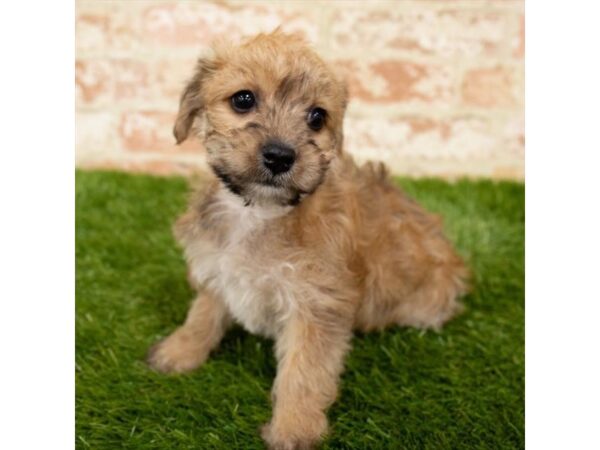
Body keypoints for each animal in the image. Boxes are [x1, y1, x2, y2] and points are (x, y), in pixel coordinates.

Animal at [146, 29, 468, 448]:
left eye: (317, 117)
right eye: (243, 99)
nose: (281, 156)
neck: (258, 211)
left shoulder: (316, 304)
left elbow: (304, 372)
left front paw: (293, 428)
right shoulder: (217, 270)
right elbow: (202, 315)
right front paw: (179, 351)